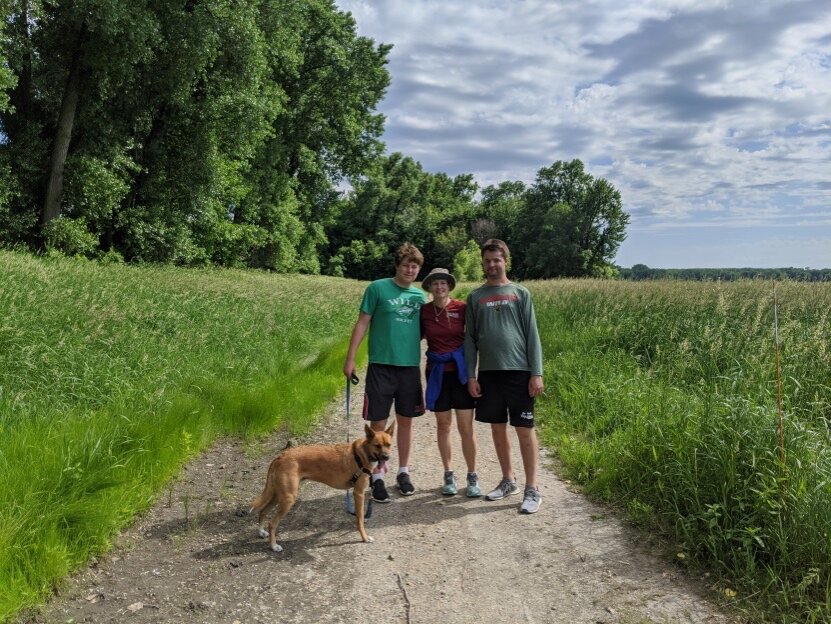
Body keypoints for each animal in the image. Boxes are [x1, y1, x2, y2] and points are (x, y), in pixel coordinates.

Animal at [249, 422, 394, 552]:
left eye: (389, 445)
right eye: (377, 445)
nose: (386, 457)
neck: (363, 453)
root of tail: (280, 457)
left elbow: (359, 518)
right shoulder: (358, 493)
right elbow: (360, 519)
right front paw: (364, 537)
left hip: (277, 495)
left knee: (262, 511)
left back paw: (261, 532)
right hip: (287, 498)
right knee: (272, 523)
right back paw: (274, 546)